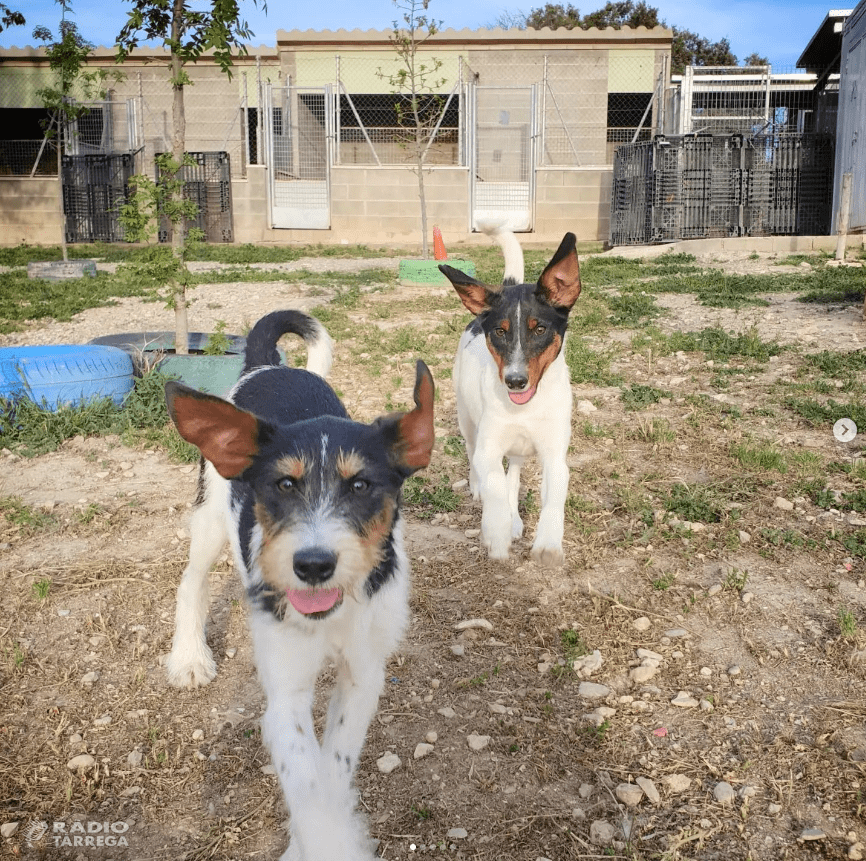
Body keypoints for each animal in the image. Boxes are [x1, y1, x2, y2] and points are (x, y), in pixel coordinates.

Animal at [161, 312, 432, 860]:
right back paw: (189, 656)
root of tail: (267, 364)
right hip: (209, 517)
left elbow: (331, 770)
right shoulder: (285, 692)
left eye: (361, 486)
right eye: (283, 485)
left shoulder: (364, 676)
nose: (312, 565)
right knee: (190, 583)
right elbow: (305, 784)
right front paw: (322, 842)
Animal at [442, 225, 576, 568]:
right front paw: (497, 531)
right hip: (467, 420)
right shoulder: (489, 448)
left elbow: (553, 493)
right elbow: (495, 485)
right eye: (500, 332)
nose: (515, 381)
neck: (525, 408)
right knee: (474, 455)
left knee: (513, 473)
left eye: (540, 329)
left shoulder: (555, 454)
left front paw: (547, 542)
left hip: (518, 449)